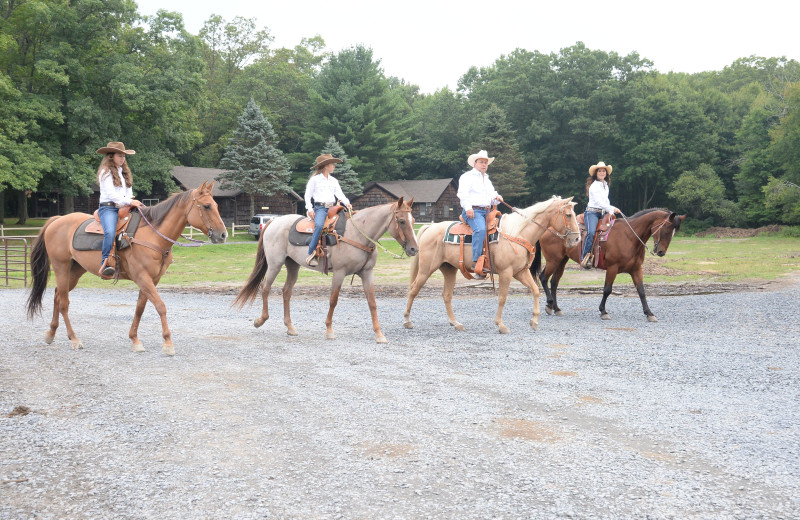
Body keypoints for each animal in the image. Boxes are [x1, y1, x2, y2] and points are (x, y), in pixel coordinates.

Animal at [26, 181, 227, 356]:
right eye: (207, 206)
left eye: (216, 205)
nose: (223, 235)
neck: (153, 235)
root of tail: (57, 220)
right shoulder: (143, 277)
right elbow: (160, 306)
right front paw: (168, 343)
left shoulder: (152, 280)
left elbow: (140, 308)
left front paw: (135, 340)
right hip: (61, 266)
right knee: (64, 303)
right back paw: (74, 339)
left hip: (75, 271)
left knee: (57, 296)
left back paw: (51, 334)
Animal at [231, 197, 418, 344]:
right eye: (401, 221)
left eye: (413, 220)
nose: (414, 249)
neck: (358, 235)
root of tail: (273, 221)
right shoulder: (339, 273)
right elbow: (333, 300)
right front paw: (329, 331)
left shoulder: (367, 273)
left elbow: (372, 303)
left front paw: (379, 334)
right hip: (275, 264)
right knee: (266, 288)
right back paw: (260, 320)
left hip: (293, 265)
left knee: (286, 291)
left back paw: (290, 327)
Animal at [404, 195, 580, 334]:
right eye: (568, 215)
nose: (577, 239)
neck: (517, 233)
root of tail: (430, 227)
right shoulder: (506, 273)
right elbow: (502, 298)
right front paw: (501, 325)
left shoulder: (521, 272)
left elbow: (535, 291)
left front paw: (534, 321)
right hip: (426, 269)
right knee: (413, 289)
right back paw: (407, 321)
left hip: (449, 269)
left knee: (447, 295)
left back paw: (456, 323)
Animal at [536, 207, 684, 320]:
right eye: (666, 229)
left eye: (674, 232)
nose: (661, 252)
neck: (629, 236)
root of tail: (548, 227)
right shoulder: (612, 268)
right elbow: (607, 289)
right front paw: (603, 311)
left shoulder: (636, 269)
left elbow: (641, 290)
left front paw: (649, 313)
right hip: (553, 260)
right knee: (543, 277)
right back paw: (549, 304)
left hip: (562, 260)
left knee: (554, 282)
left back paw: (556, 308)